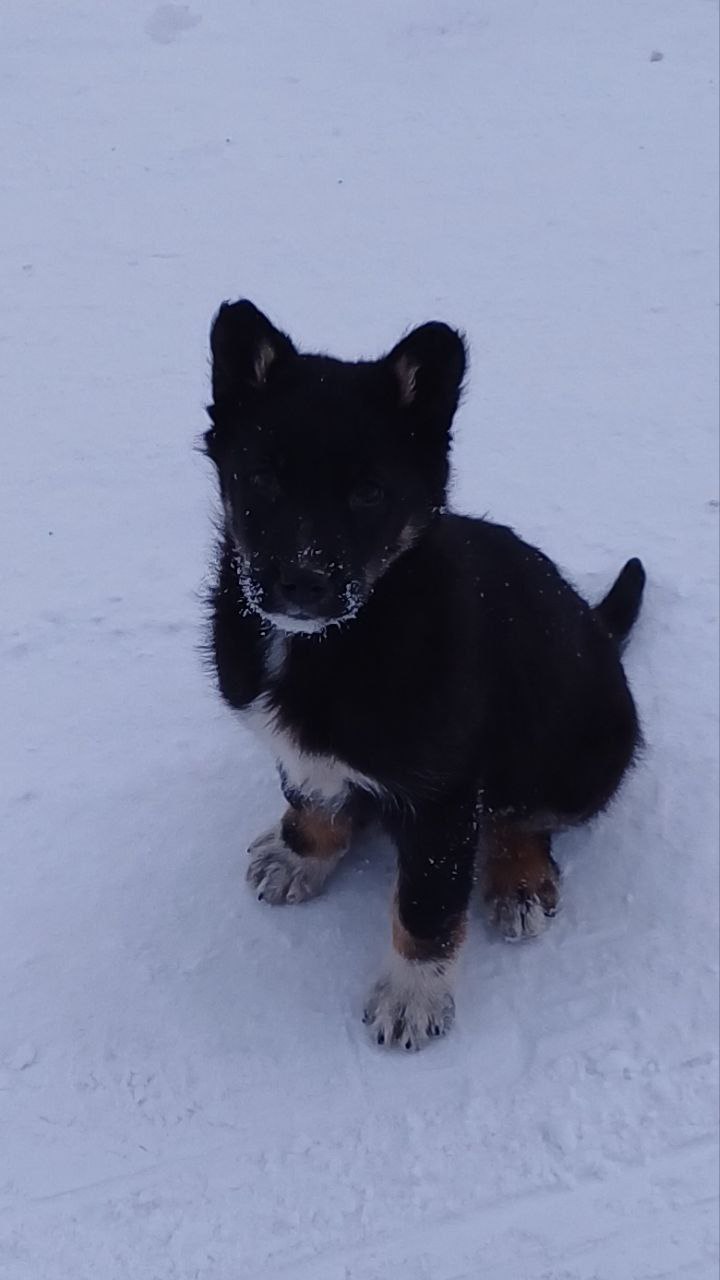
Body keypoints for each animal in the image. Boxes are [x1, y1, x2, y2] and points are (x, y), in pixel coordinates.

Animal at [203, 299, 645, 1051]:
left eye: (369, 493)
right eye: (260, 480)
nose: (301, 584)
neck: (346, 635)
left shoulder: (443, 793)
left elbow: (428, 902)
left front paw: (413, 996)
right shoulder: (306, 752)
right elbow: (310, 796)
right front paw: (301, 854)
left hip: (580, 753)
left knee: (525, 816)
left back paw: (518, 879)